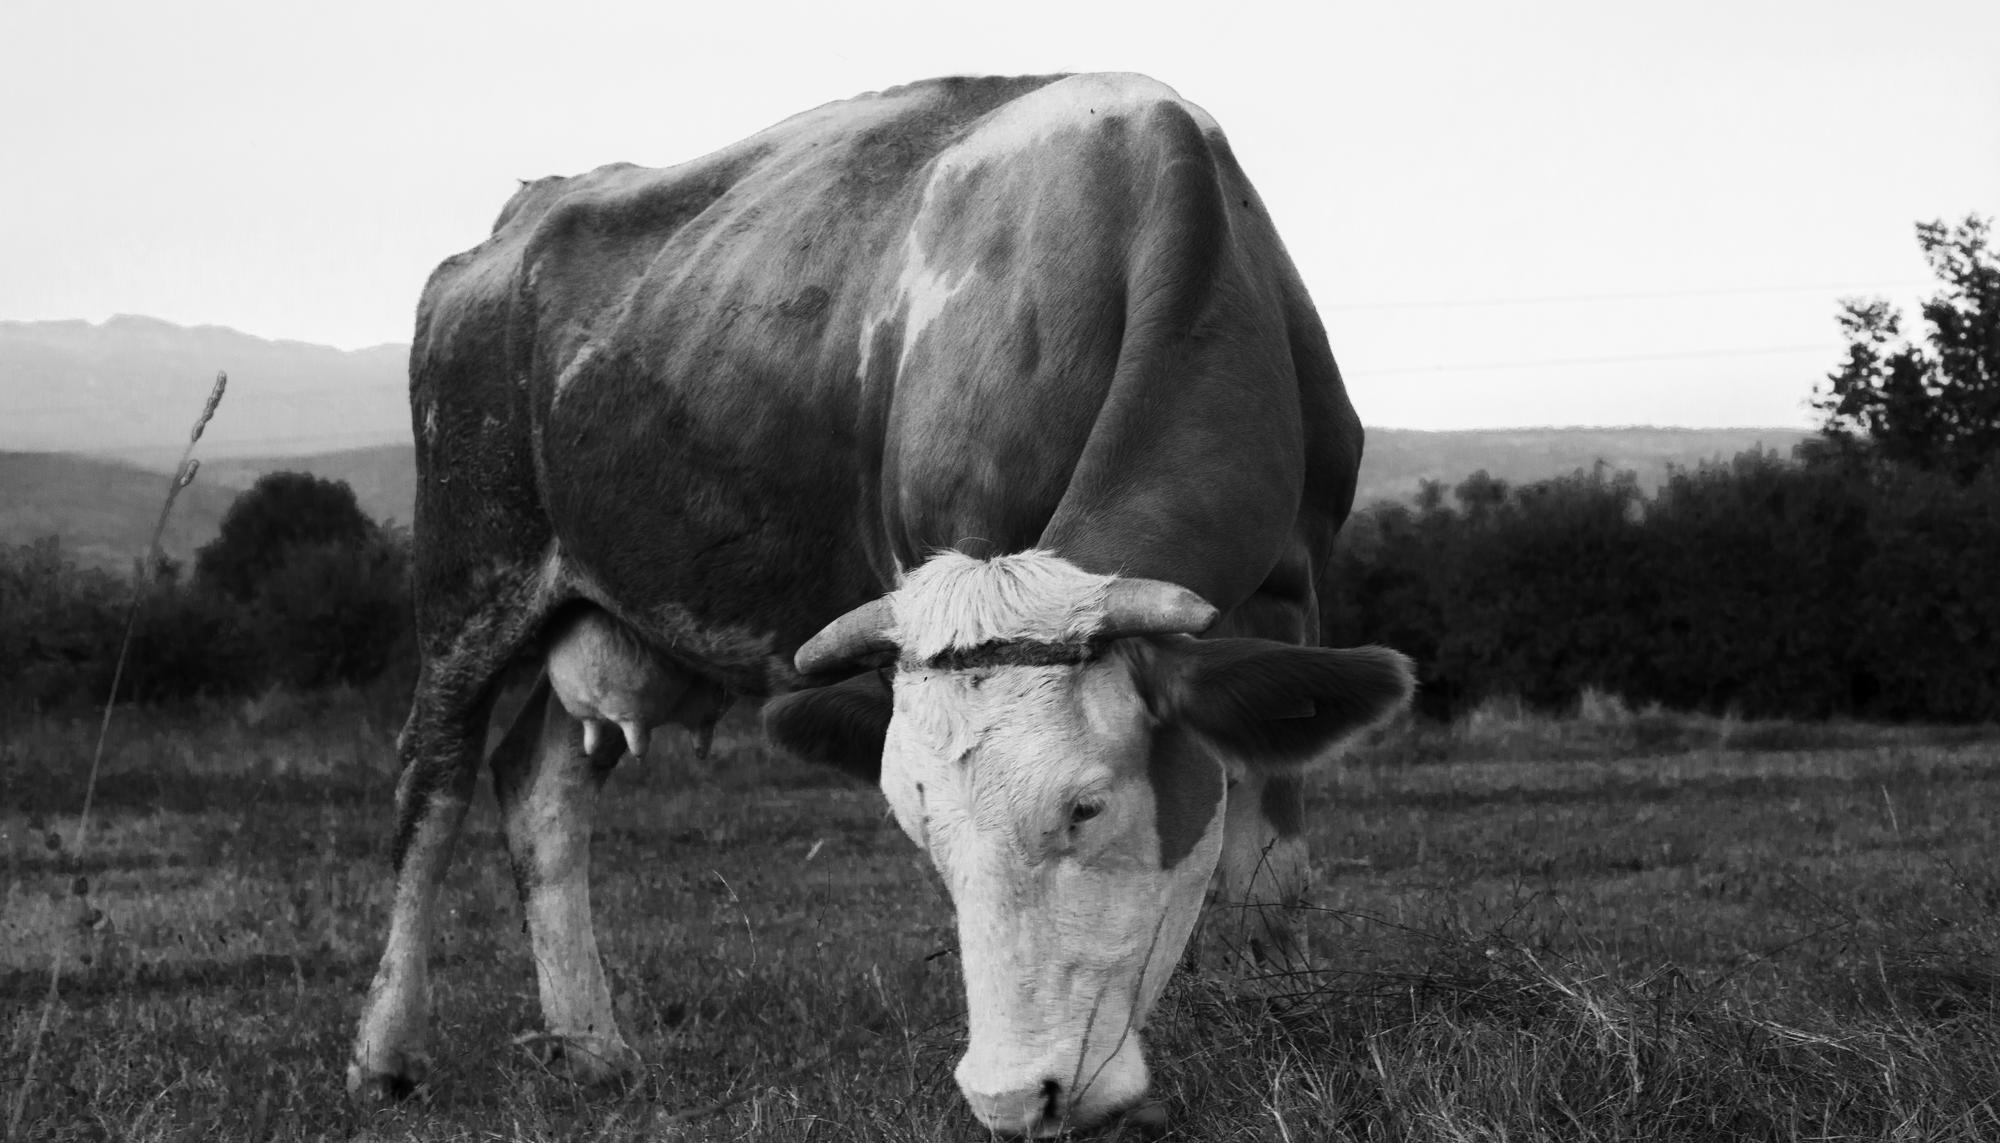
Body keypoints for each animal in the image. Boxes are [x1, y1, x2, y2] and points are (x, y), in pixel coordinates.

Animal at [348, 72, 1413, 1137]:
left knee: (541, 791)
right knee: (431, 788)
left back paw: (593, 1047)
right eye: (916, 820)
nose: (1013, 1097)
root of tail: (523, 217)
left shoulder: (1291, 590)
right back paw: (385, 1053)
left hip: (594, 612)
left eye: (1087, 805)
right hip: (472, 579)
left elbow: (1273, 869)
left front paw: (1278, 1023)